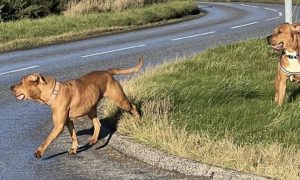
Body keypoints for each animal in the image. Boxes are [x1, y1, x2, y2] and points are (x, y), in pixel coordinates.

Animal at [9, 57, 144, 158]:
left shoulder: (59, 125)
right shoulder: (68, 121)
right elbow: (73, 135)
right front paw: (74, 149)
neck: (53, 92)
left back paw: (138, 120)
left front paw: (39, 151)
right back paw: (93, 140)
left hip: (119, 99)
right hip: (90, 108)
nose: (10, 87)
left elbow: (48, 138)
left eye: (21, 82)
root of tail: (107, 72)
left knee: (132, 107)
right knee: (97, 124)